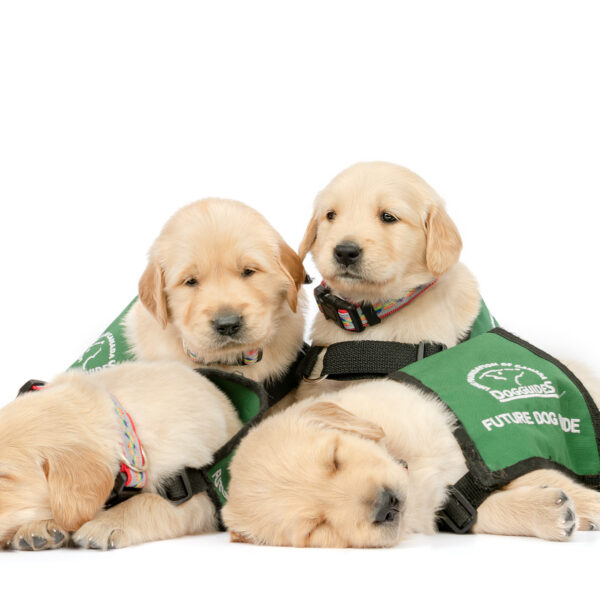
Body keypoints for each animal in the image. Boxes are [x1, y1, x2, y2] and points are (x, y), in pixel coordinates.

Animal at [221, 332, 600, 548]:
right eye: (315, 528)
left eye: (334, 458)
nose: (385, 505)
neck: (407, 465)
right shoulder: (449, 505)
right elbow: (481, 511)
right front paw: (550, 512)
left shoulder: (494, 447)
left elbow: (542, 472)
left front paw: (590, 505)